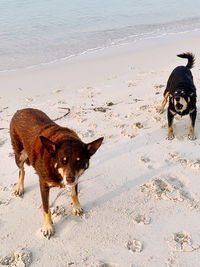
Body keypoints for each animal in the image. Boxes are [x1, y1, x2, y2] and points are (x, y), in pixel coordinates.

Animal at [9, 108, 103, 239]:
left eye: (79, 161)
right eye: (63, 161)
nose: (69, 179)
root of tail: (20, 110)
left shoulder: (76, 177)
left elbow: (74, 193)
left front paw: (76, 206)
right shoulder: (43, 185)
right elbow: (46, 208)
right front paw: (48, 226)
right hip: (19, 154)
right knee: (21, 170)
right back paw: (19, 188)